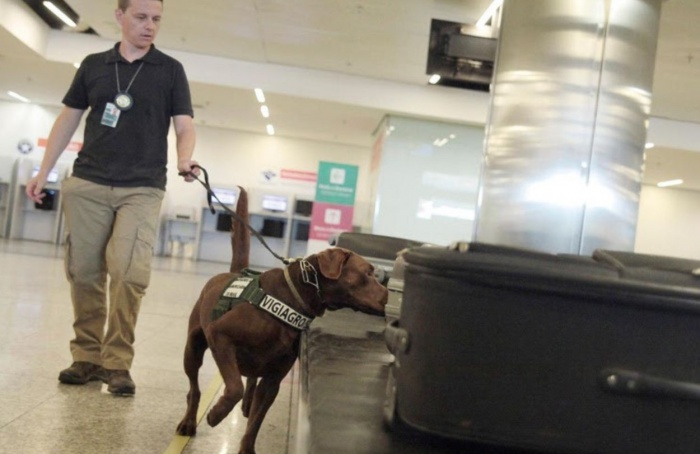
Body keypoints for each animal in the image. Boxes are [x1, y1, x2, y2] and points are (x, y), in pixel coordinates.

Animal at [175, 186, 388, 452]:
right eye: (368, 273)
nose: (388, 295)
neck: (292, 298)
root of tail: (233, 272)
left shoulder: (273, 380)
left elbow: (255, 422)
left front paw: (247, 448)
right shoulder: (220, 334)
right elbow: (234, 387)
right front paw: (217, 413)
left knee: (250, 383)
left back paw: (246, 403)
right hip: (194, 346)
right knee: (194, 388)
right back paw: (189, 421)